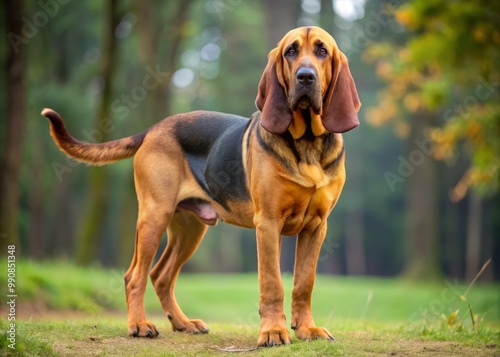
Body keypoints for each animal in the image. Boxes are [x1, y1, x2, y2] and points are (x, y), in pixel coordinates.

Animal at [41, 26, 358, 346]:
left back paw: (184, 323)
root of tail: (152, 130)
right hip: (154, 216)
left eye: (322, 51)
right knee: (135, 276)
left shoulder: (316, 227)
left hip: (189, 229)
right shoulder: (268, 223)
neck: (307, 143)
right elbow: (272, 283)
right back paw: (139, 324)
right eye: (291, 51)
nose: (306, 77)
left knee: (161, 276)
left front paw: (306, 330)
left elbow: (304, 283)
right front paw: (273, 331)